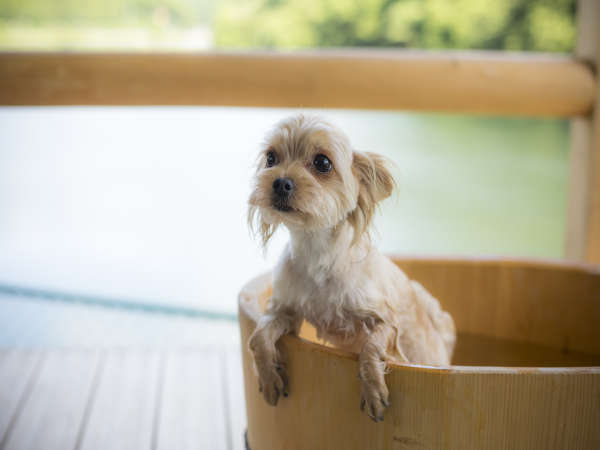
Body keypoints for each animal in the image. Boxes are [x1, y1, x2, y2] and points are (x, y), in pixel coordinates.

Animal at [247, 115, 454, 422]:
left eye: (322, 162)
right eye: (271, 157)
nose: (280, 182)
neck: (318, 258)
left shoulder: (383, 321)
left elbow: (370, 348)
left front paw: (373, 391)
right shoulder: (286, 312)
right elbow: (258, 337)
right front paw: (269, 378)